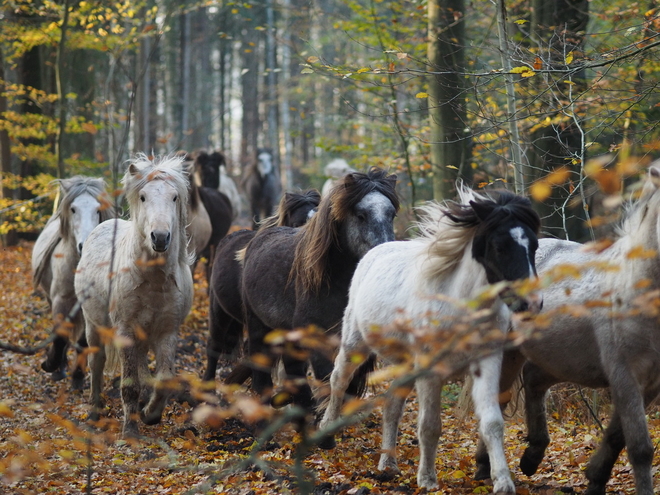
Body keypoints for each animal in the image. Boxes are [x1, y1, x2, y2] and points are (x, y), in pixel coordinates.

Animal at [31, 176, 113, 390]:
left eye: (98, 209)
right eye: (73, 209)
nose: (85, 246)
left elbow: (83, 342)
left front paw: (77, 377)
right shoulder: (60, 301)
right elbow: (60, 336)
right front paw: (51, 365)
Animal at [75, 155, 193, 438]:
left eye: (174, 197)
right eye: (143, 196)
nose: (159, 237)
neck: (153, 282)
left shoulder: (167, 332)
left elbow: (164, 379)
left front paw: (151, 414)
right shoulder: (125, 330)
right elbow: (129, 383)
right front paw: (129, 431)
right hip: (93, 325)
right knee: (96, 362)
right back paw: (95, 411)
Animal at [320, 187, 540, 495]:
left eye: (534, 246)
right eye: (499, 246)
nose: (532, 304)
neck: (459, 306)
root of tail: (373, 253)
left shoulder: (486, 362)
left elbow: (492, 422)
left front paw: (503, 482)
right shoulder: (429, 371)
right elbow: (429, 425)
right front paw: (427, 479)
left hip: (404, 363)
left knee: (392, 404)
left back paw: (388, 466)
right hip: (355, 344)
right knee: (339, 380)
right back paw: (326, 435)